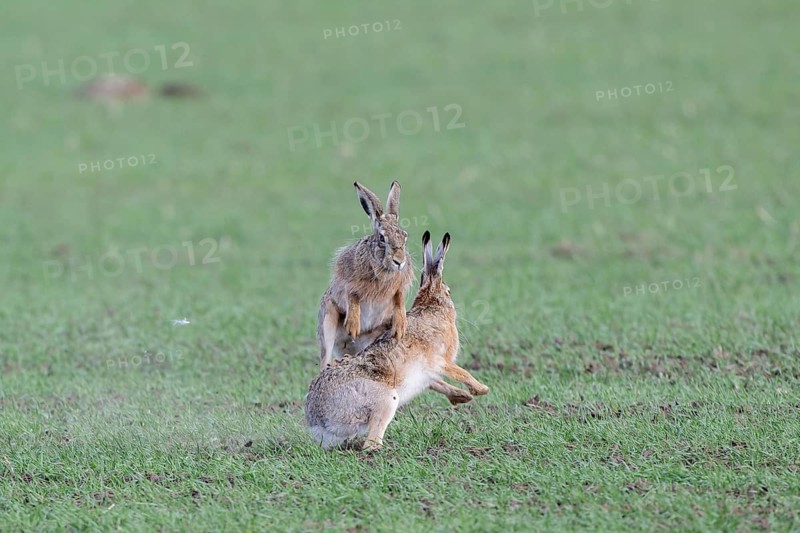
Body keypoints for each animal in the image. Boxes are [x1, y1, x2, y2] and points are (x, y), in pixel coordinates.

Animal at [306, 231, 490, 451]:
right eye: (449, 291)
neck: (431, 307)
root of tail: (318, 420)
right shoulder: (440, 360)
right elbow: (462, 372)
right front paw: (482, 389)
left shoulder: (430, 373)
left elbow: (439, 381)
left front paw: (465, 396)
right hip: (385, 400)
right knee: (371, 443)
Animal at [317, 181, 414, 371]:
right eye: (382, 238)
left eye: (404, 237)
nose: (399, 261)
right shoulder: (348, 283)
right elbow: (352, 297)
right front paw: (353, 326)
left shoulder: (398, 288)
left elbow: (399, 300)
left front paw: (400, 327)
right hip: (328, 321)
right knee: (324, 361)